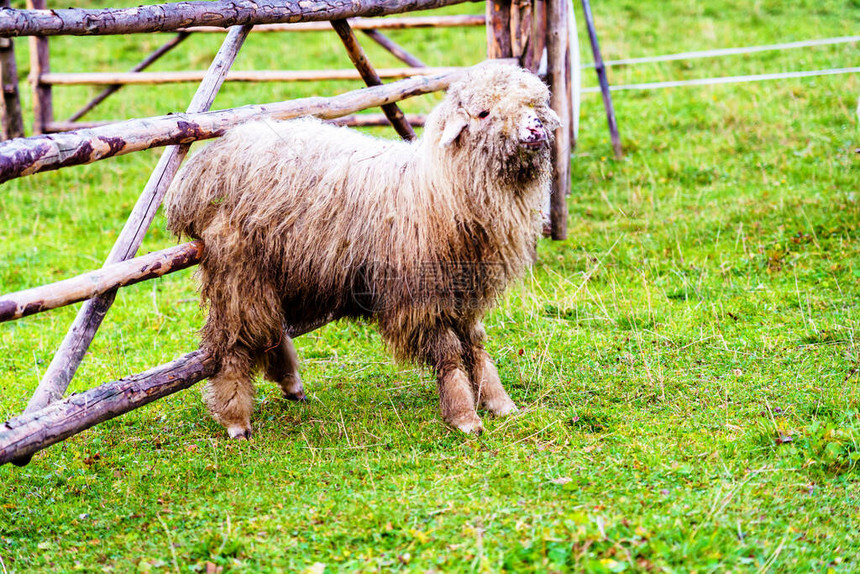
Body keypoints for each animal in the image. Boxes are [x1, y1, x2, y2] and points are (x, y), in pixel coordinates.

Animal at [165, 60, 560, 438]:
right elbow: (449, 355)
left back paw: (290, 383)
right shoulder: (420, 297)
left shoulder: (463, 291)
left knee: (268, 328)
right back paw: (236, 419)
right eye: (483, 113)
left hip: (274, 267)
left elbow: (476, 346)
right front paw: (465, 417)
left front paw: (499, 403)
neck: (436, 188)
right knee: (232, 342)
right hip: (237, 267)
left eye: (533, 104)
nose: (535, 129)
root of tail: (198, 171)